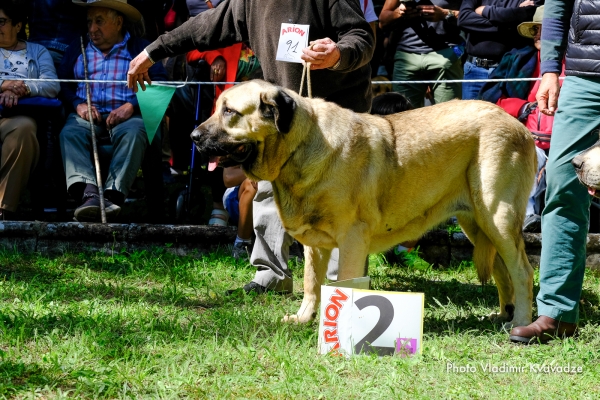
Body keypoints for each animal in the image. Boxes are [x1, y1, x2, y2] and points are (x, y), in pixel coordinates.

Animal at [191, 80, 536, 328]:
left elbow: (345, 282)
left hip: (497, 215)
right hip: (476, 223)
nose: (193, 136)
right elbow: (311, 284)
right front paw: (304, 319)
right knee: (503, 271)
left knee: (522, 270)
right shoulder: (315, 243)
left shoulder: (351, 239)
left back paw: (519, 323)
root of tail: (516, 123)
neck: (299, 146)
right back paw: (504, 314)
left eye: (229, 111)